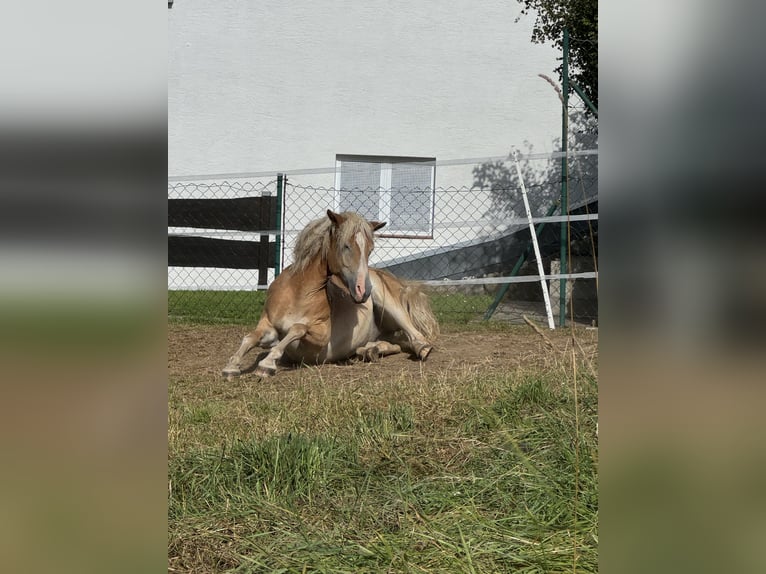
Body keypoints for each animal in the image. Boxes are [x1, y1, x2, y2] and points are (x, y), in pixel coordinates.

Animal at [222, 209, 438, 380]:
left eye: (370, 249)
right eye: (346, 246)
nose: (363, 291)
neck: (297, 294)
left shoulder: (320, 337)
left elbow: (297, 328)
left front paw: (266, 365)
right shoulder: (268, 327)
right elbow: (249, 338)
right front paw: (231, 367)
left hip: (389, 304)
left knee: (415, 336)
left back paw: (422, 349)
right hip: (386, 331)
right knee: (396, 344)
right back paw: (369, 351)